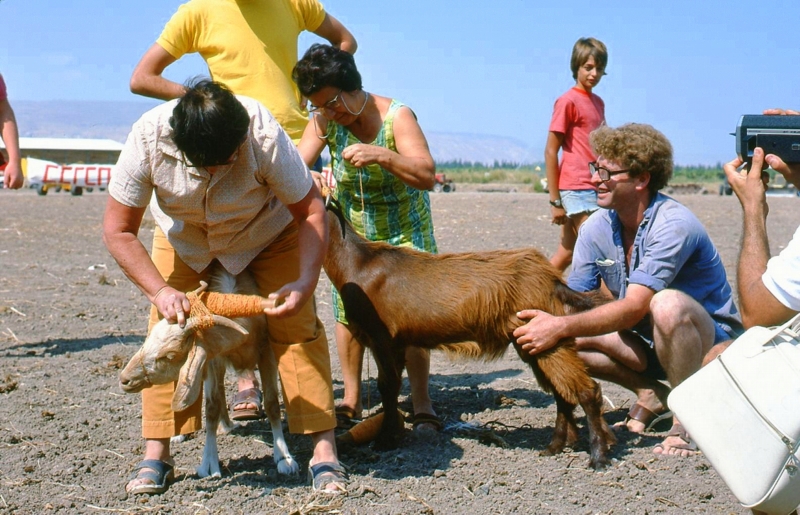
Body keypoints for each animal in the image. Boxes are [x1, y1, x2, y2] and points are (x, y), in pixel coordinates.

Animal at [322, 202, 616, 472]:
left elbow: (388, 385)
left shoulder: (382, 337)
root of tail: (552, 280)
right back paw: (554, 446)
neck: (358, 264)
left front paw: (386, 439)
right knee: (562, 393)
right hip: (533, 338)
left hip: (546, 331)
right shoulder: (398, 342)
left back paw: (598, 457)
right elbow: (391, 385)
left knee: (586, 390)